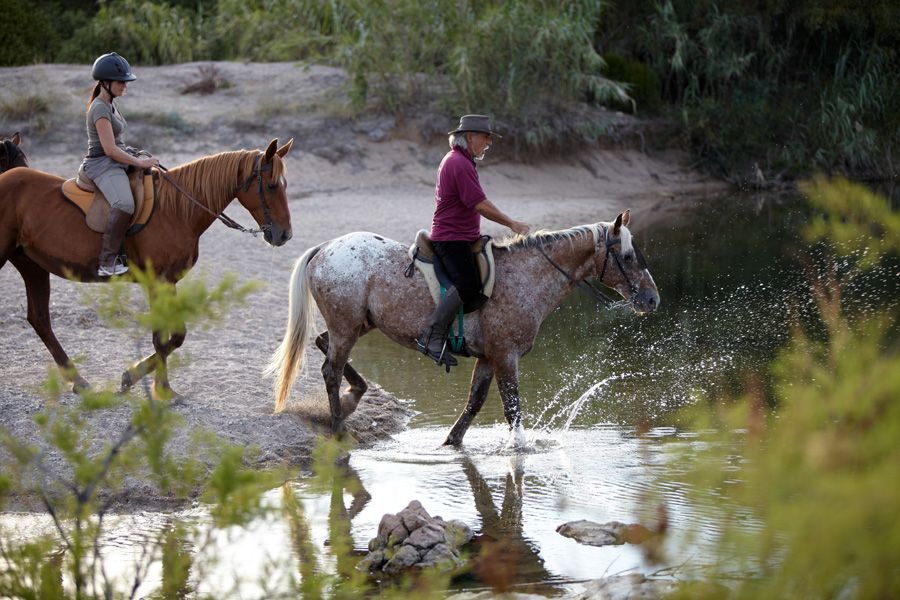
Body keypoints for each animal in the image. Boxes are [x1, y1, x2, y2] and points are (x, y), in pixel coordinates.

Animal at [0, 138, 294, 397]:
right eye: (271, 186)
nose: (285, 235)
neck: (177, 210)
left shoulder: (168, 282)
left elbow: (176, 335)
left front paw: (134, 377)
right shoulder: (157, 282)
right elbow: (162, 338)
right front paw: (161, 389)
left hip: (32, 265)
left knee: (39, 319)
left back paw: (79, 381)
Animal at [267, 210, 659, 445]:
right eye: (627, 257)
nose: (653, 299)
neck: (528, 276)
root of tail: (325, 248)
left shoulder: (487, 357)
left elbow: (474, 403)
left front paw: (451, 441)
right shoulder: (506, 356)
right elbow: (512, 409)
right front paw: (520, 450)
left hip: (357, 323)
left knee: (323, 344)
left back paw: (355, 394)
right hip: (347, 326)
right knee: (330, 369)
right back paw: (339, 426)